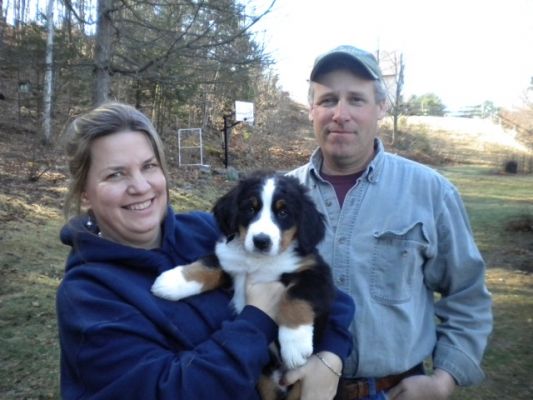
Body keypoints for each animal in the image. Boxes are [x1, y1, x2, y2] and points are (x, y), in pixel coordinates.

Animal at [151, 170, 332, 398]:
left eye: (283, 212)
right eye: (250, 209)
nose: (261, 241)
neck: (259, 261)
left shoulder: (316, 272)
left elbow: (295, 297)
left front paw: (295, 343)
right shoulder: (228, 260)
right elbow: (208, 264)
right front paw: (172, 281)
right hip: (265, 380)